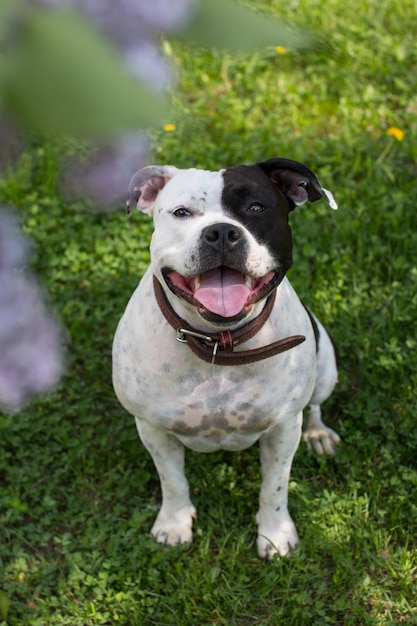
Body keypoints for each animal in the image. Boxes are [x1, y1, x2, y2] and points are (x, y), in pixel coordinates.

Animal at [112, 158, 340, 560]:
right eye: (182, 212)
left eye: (256, 208)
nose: (220, 232)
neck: (218, 343)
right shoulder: (153, 428)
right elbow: (172, 481)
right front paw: (174, 523)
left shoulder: (283, 429)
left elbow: (275, 487)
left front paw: (275, 534)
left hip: (325, 365)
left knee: (314, 406)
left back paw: (318, 434)